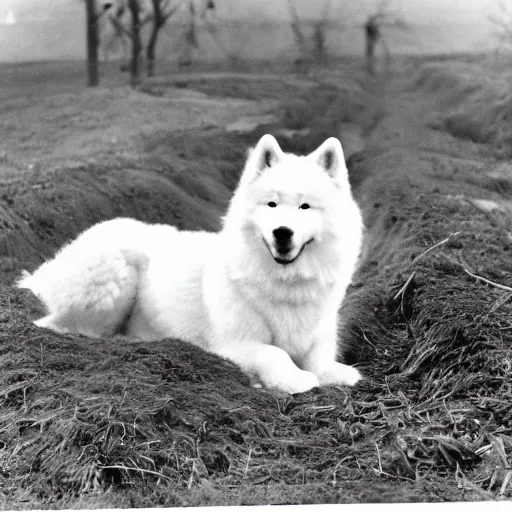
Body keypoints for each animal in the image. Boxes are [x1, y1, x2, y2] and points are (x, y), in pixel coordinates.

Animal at [18, 134, 364, 394]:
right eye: (272, 204)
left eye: (305, 207)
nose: (282, 232)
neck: (284, 284)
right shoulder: (233, 344)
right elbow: (275, 353)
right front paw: (292, 380)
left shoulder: (316, 335)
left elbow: (320, 359)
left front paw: (337, 373)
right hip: (114, 275)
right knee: (63, 326)